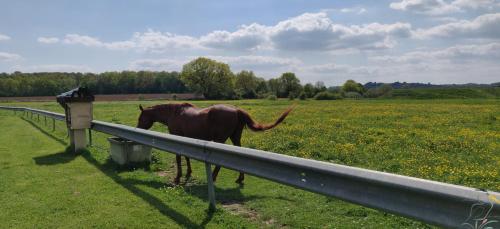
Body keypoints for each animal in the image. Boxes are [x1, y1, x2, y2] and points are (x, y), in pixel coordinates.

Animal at [137, 103, 292, 183]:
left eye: (140, 118)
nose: (137, 129)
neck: (173, 113)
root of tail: (236, 110)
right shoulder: (186, 139)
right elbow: (187, 157)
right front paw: (188, 173)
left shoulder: (177, 137)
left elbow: (179, 157)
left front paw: (178, 177)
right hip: (235, 138)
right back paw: (240, 178)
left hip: (220, 140)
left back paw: (212, 177)